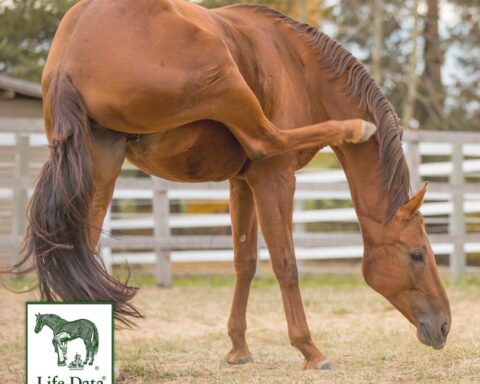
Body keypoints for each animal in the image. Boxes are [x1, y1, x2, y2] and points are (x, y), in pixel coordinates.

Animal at [14, 0, 450, 370]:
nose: (445, 325)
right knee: (267, 138)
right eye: (417, 255)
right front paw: (310, 349)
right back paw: (355, 128)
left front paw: (238, 348)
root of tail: (71, 54)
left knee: (82, 247)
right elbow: (285, 264)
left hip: (101, 165)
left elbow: (245, 262)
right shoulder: (273, 178)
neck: (301, 67)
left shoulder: (242, 183)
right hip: (222, 79)